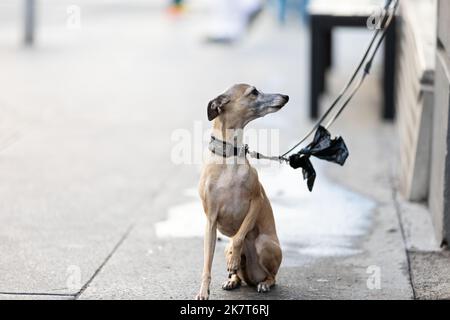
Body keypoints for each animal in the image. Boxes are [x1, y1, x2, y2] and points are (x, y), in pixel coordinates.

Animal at [196, 84, 288, 298]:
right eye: (253, 92)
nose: (285, 97)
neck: (229, 158)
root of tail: (252, 277)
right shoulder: (210, 221)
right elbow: (206, 265)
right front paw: (203, 292)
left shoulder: (256, 201)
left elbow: (239, 236)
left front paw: (234, 258)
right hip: (228, 252)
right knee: (237, 272)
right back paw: (233, 280)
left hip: (265, 244)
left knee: (272, 276)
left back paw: (263, 282)